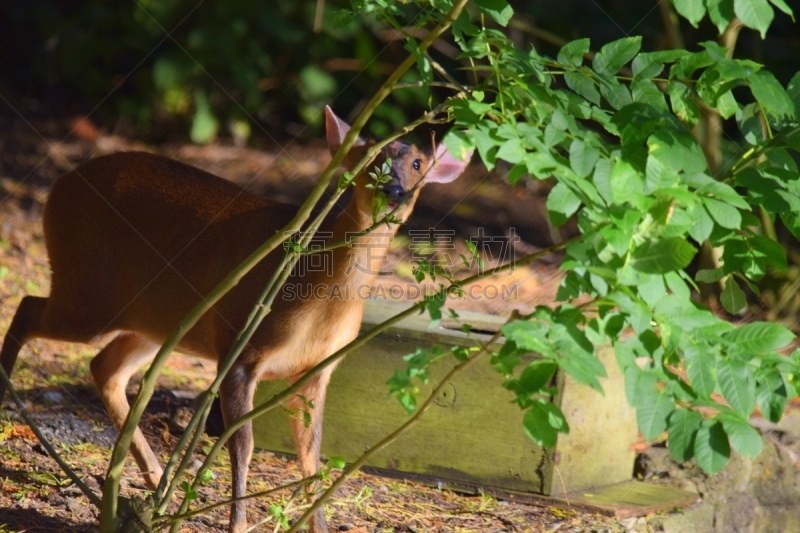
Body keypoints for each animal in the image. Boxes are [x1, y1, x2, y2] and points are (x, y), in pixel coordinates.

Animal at [0, 108, 472, 532]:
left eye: (418, 163)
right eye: (370, 157)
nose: (395, 190)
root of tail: (58, 185)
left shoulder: (315, 372)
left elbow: (312, 454)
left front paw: (317, 525)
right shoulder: (240, 348)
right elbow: (241, 444)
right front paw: (239, 524)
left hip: (159, 320)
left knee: (105, 366)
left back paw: (153, 478)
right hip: (89, 293)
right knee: (28, 306)